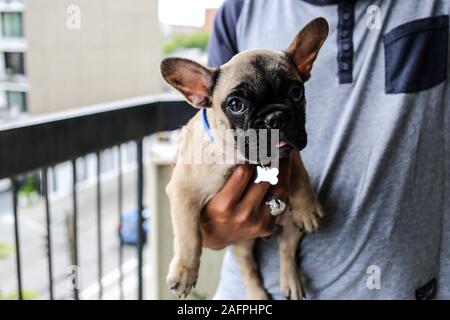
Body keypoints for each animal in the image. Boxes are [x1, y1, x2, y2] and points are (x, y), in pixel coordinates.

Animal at [160, 17, 328, 298]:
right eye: (236, 104)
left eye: (296, 92)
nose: (275, 117)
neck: (243, 159)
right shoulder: (183, 193)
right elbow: (188, 235)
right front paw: (184, 272)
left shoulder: (290, 151)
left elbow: (299, 174)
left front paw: (308, 206)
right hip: (241, 242)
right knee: (249, 269)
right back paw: (258, 295)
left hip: (290, 228)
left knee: (287, 251)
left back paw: (291, 282)